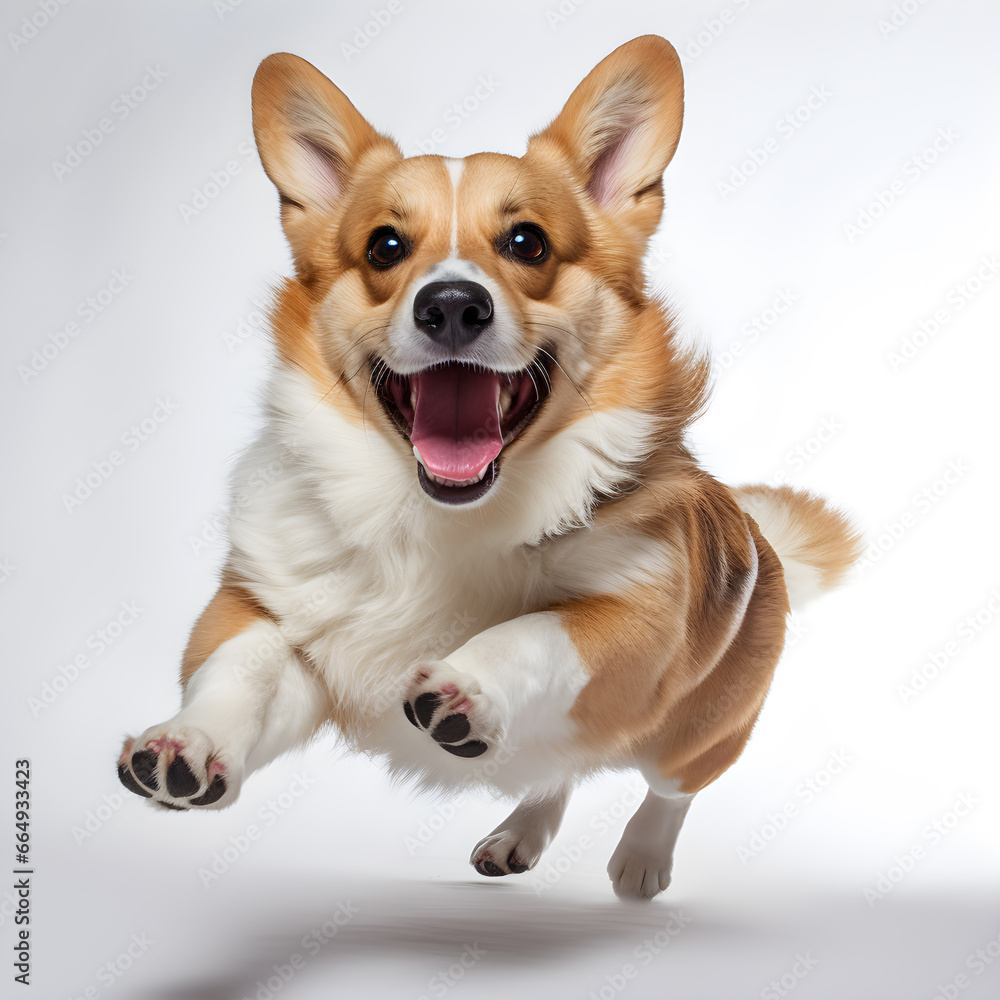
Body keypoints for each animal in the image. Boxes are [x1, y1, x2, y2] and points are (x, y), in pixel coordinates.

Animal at [115, 37, 860, 900]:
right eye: (386, 247)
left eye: (526, 242)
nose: (451, 305)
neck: (437, 519)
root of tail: (758, 540)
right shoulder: (264, 607)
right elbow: (241, 666)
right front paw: (185, 744)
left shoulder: (639, 621)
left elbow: (536, 630)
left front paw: (463, 685)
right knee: (555, 773)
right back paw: (518, 836)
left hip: (699, 732)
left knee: (667, 787)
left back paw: (642, 859)